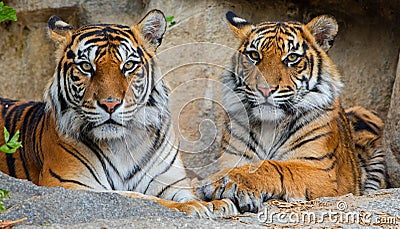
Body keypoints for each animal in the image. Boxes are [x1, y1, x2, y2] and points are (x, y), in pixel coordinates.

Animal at [0, 10, 238, 218]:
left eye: (129, 65)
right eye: (86, 66)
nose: (110, 104)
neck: (123, 143)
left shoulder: (170, 182)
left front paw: (217, 204)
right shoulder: (69, 184)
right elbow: (138, 198)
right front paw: (195, 206)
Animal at [195, 12, 386, 213]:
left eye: (292, 57)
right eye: (254, 55)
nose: (264, 89)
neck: (269, 125)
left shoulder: (324, 170)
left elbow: (277, 167)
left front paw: (226, 182)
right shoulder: (231, 158)